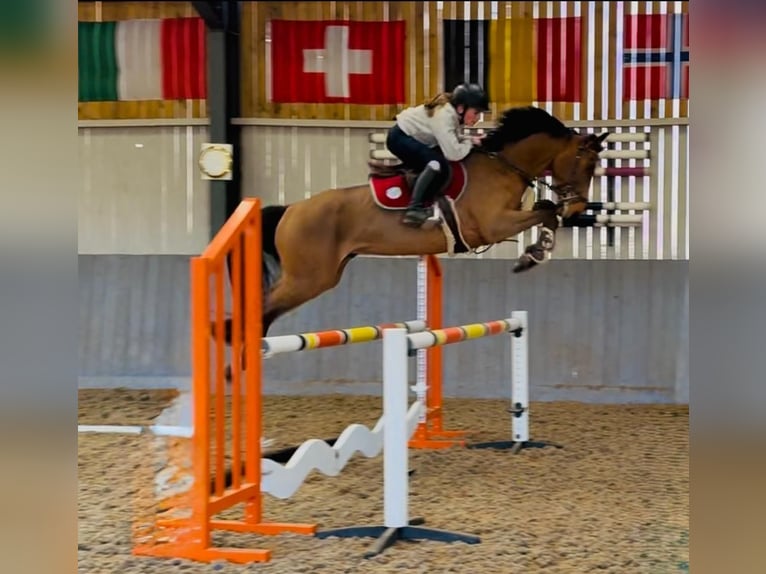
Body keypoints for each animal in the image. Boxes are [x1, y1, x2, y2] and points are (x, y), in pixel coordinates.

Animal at [224, 106, 608, 345]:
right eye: (586, 163)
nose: (579, 207)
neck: (503, 166)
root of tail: (291, 210)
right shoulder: (493, 225)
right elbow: (547, 213)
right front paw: (532, 256)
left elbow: (547, 211)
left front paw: (535, 252)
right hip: (307, 278)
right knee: (261, 307)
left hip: (319, 276)